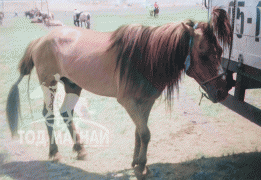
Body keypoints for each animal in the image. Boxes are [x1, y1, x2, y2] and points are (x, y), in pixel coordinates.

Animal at [5, 7, 230, 179]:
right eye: (203, 54)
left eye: (220, 51)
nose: (222, 91)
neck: (144, 57)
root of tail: (40, 39)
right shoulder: (128, 101)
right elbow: (145, 133)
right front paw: (142, 167)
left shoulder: (146, 102)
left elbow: (140, 132)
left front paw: (137, 162)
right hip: (49, 84)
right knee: (49, 114)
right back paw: (55, 153)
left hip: (72, 85)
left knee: (65, 112)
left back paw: (80, 149)